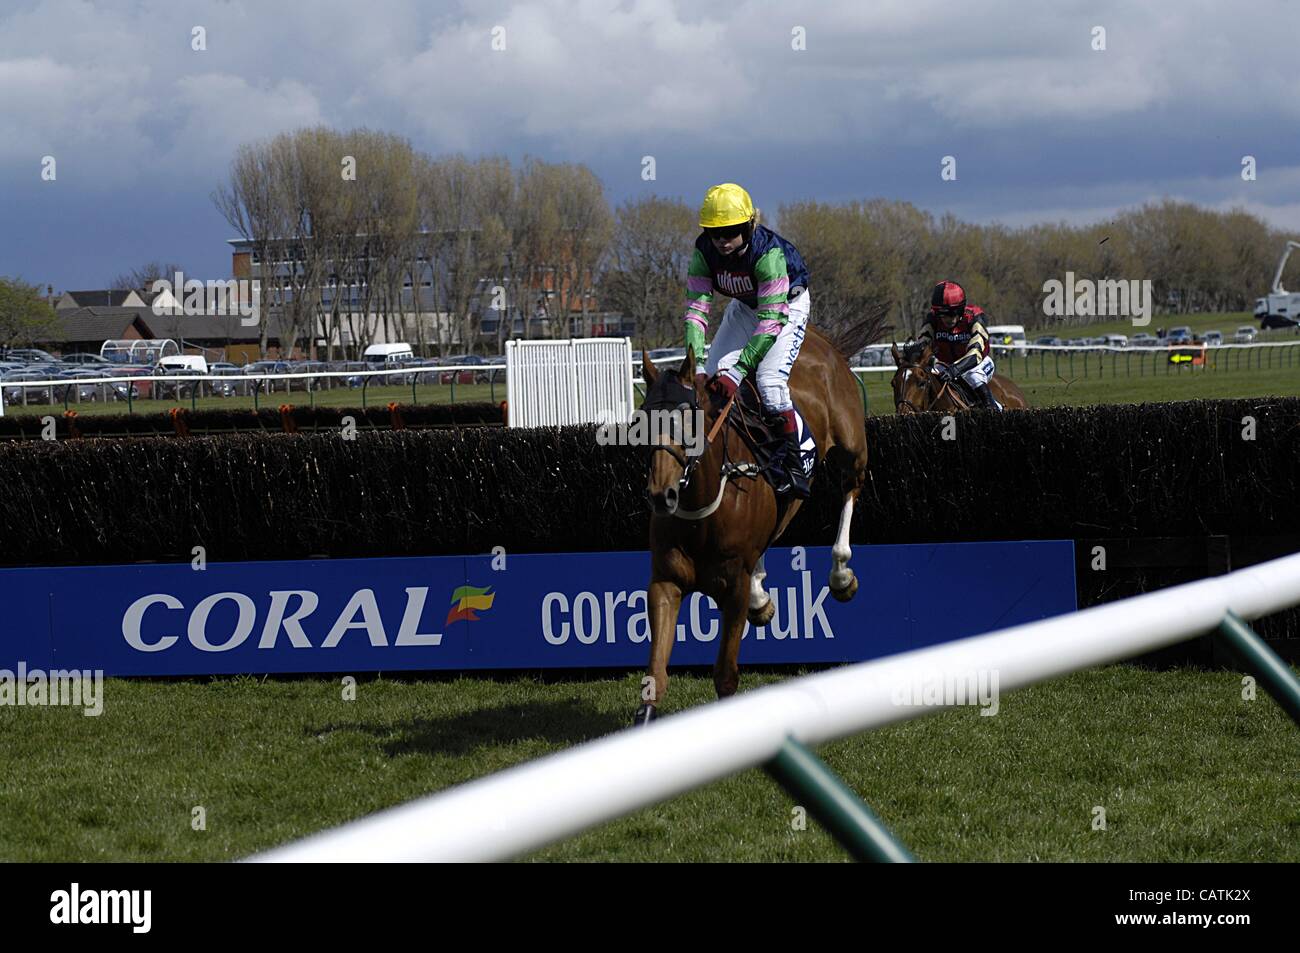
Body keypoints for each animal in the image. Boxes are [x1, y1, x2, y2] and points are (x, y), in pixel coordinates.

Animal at [634, 327, 868, 722]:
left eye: (688, 418)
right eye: (642, 421)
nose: (661, 495)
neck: (701, 512)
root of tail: (818, 338)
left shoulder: (734, 590)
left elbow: (726, 676)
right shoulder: (665, 582)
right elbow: (655, 676)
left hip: (850, 447)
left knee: (850, 488)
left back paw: (840, 573)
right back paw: (763, 598)